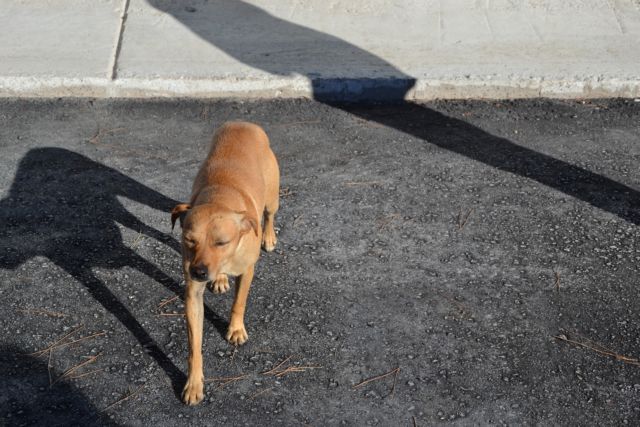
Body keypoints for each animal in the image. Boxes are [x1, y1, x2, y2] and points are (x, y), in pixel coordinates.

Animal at [171, 122, 278, 406]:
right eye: (189, 240)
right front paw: (194, 383)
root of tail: (243, 123)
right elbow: (194, 344)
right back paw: (219, 279)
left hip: (273, 196)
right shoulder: (192, 294)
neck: (220, 196)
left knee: (269, 214)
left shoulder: (247, 270)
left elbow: (239, 302)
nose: (199, 271)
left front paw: (236, 329)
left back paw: (269, 236)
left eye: (222, 242)